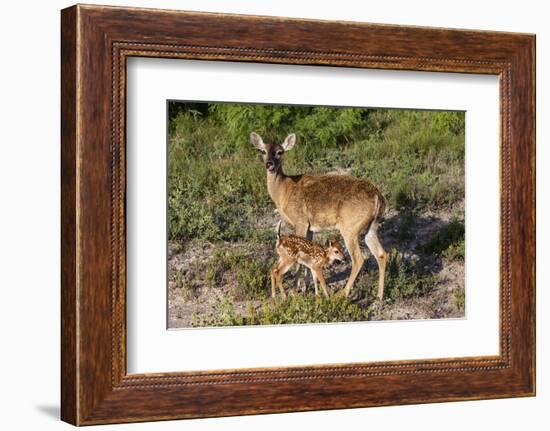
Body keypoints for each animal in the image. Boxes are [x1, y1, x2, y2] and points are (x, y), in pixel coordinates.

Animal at [252, 132, 390, 300]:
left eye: (280, 152)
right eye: (263, 151)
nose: (269, 164)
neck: (284, 191)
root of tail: (378, 197)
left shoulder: (300, 221)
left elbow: (299, 258)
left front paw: (296, 288)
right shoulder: (310, 227)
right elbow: (307, 255)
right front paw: (306, 286)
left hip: (350, 227)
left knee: (358, 259)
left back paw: (343, 293)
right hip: (371, 226)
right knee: (382, 254)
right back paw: (379, 296)